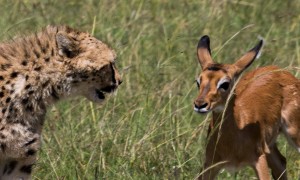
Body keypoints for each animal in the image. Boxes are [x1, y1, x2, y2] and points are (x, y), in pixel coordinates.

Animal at [193, 35, 298, 180]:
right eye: (198, 81)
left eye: (225, 83)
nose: (200, 104)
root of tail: (280, 71)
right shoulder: (209, 165)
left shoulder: (259, 160)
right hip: (269, 147)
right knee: (281, 163)